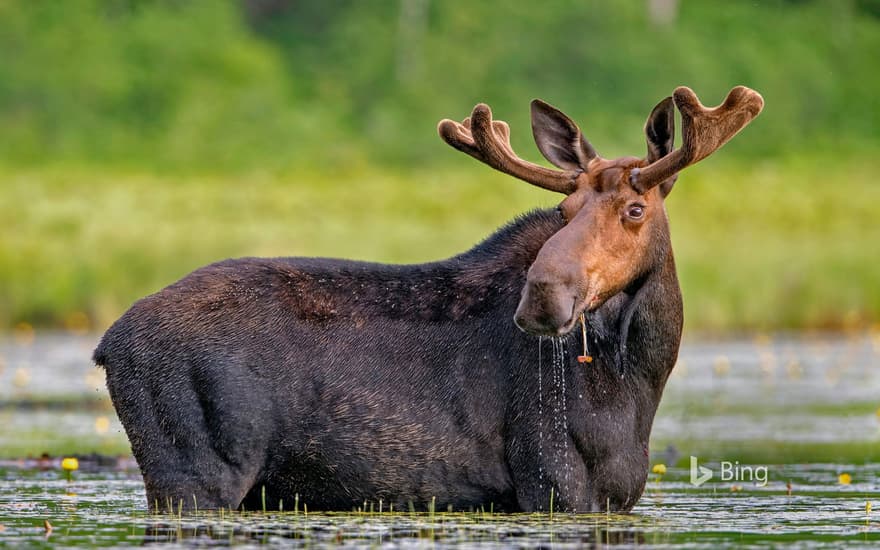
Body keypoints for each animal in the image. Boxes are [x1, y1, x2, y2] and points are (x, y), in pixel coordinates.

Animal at [93, 85, 760, 512]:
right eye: (565, 209)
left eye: (634, 209)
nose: (543, 297)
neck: (639, 376)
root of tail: (107, 345)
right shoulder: (553, 479)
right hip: (194, 474)